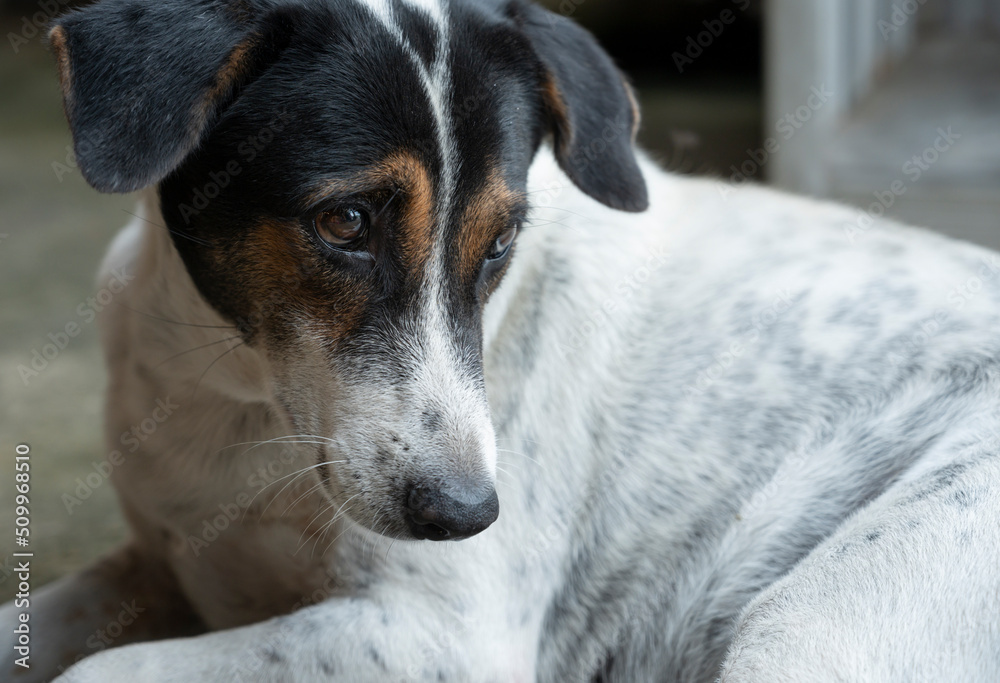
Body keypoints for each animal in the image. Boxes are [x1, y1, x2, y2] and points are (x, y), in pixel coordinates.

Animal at [5, 0, 1000, 680]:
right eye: (345, 221)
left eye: (500, 243)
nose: (466, 515)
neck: (233, 393)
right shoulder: (157, 563)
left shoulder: (440, 636)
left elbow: (96, 670)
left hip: (807, 627)